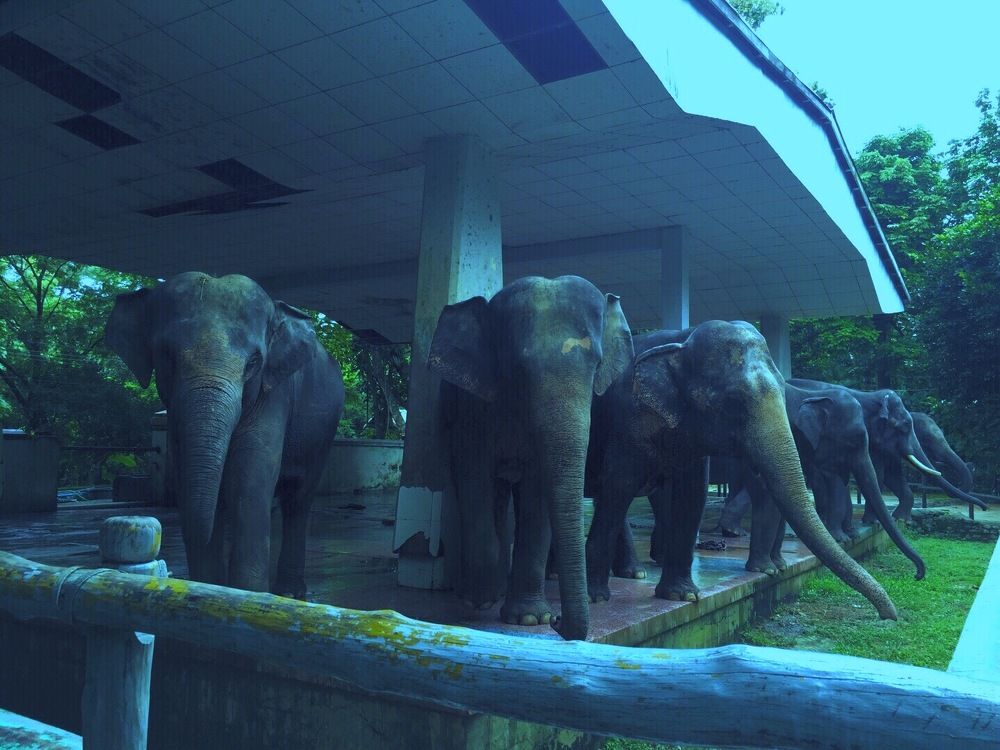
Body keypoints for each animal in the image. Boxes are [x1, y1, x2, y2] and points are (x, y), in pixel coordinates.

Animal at [106, 272, 344, 598]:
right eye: (166, 356)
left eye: (254, 362)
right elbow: (187, 477)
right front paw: (208, 589)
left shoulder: (273, 394)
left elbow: (249, 481)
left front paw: (247, 595)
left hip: (323, 434)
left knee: (298, 500)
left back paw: (289, 593)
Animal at [428, 275, 633, 641]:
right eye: (517, 368)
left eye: (597, 365)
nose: (559, 622)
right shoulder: (473, 408)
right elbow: (473, 479)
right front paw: (479, 602)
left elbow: (537, 495)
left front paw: (528, 619)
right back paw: (483, 591)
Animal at [584, 321, 899, 621]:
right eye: (733, 402)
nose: (889, 615)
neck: (683, 339)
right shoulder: (627, 419)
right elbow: (620, 485)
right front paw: (596, 598)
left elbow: (691, 495)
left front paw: (682, 596)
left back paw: (634, 572)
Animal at [789, 380, 987, 523]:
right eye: (905, 426)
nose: (984, 508)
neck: (872, 397)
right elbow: (877, 473)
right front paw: (873, 522)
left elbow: (891, 474)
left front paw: (900, 520)